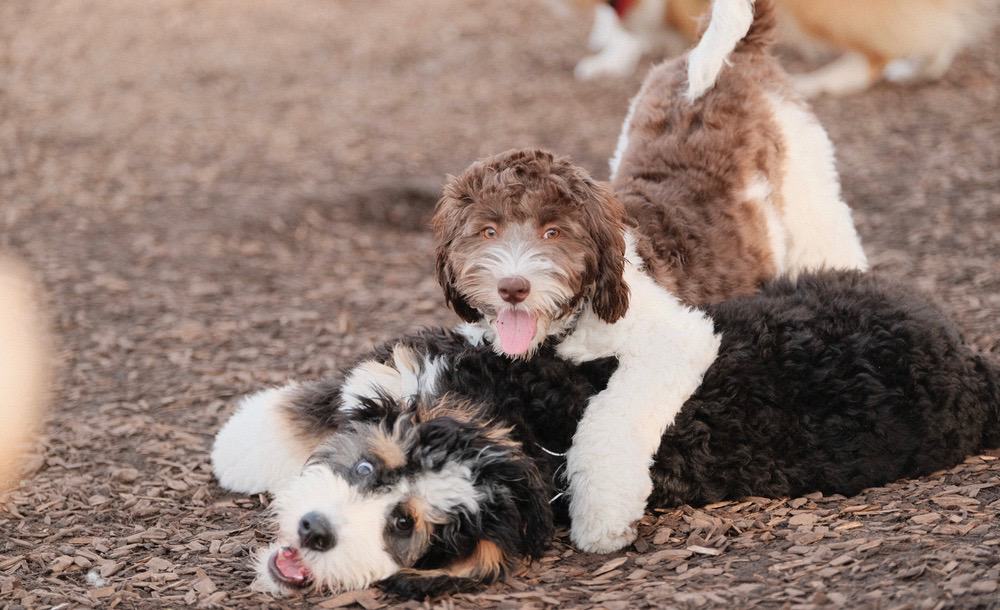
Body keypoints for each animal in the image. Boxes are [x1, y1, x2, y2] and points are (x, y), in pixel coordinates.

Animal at [213, 272, 1000, 600]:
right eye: (370, 472)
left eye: (405, 528)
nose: (314, 531)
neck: (513, 420)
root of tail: (972, 364)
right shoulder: (406, 372)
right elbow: (318, 404)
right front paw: (242, 443)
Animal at [434, 0, 864, 552]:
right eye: (487, 230)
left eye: (554, 232)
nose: (513, 287)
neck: (570, 324)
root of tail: (739, 57)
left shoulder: (675, 338)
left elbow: (609, 420)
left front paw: (601, 516)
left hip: (810, 193)